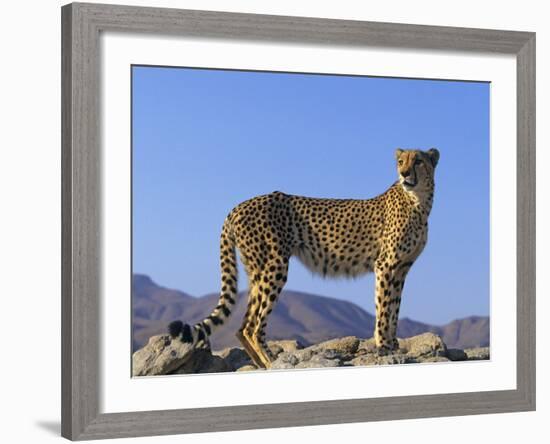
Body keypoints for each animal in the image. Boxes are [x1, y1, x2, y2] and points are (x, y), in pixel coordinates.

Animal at [168, 147, 440, 370]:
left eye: (418, 161)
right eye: (401, 161)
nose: (404, 174)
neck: (418, 202)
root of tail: (239, 205)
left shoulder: (401, 268)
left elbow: (394, 307)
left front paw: (393, 344)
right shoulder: (385, 265)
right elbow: (384, 308)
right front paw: (383, 346)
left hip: (256, 271)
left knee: (243, 326)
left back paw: (261, 364)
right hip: (275, 266)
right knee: (253, 326)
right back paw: (272, 362)